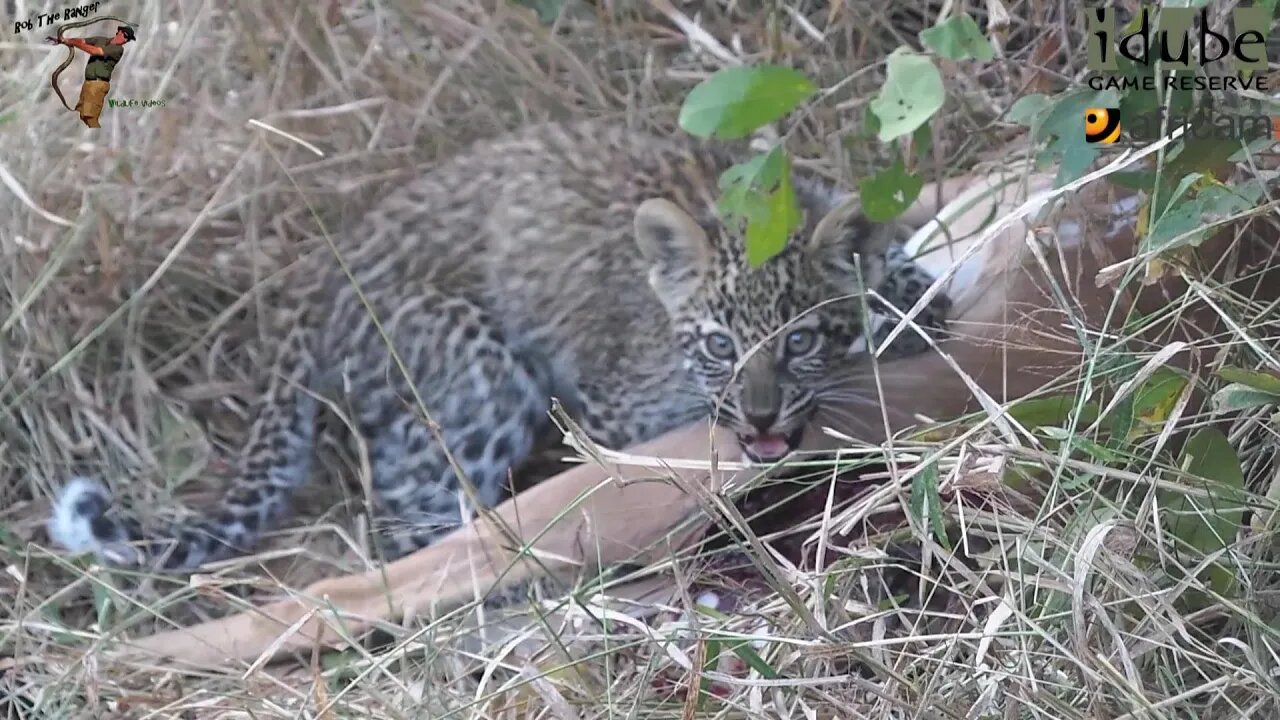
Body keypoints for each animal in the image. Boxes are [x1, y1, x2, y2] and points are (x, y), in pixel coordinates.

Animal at [47, 118, 952, 572]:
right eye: (719, 344)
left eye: (800, 339)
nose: (760, 419)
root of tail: (317, 279)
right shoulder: (617, 410)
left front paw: (907, 300)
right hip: (477, 369)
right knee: (405, 519)